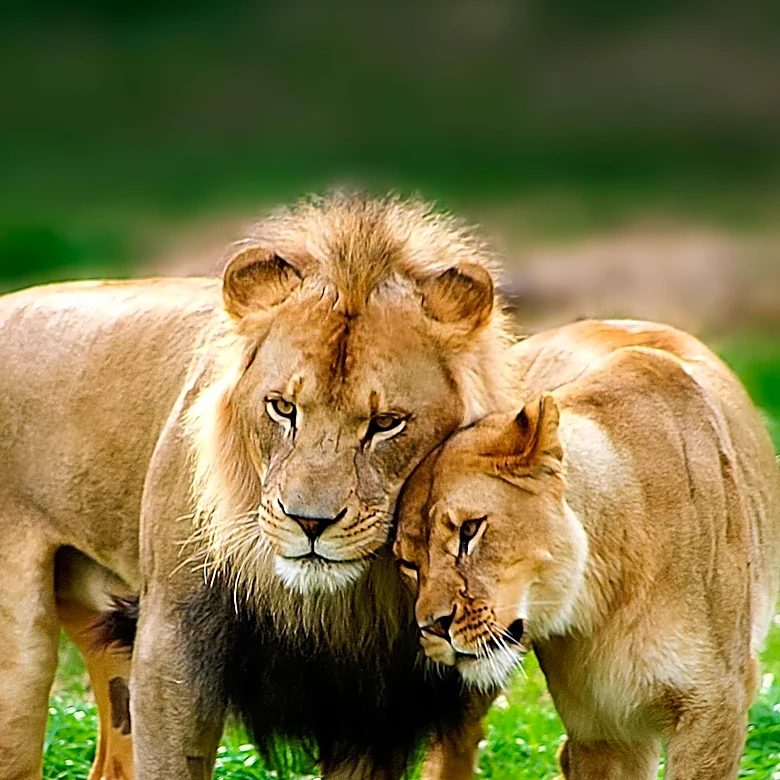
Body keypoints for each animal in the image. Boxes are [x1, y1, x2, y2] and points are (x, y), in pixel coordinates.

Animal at [0, 193, 516, 780]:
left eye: (386, 423)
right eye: (282, 407)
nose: (309, 522)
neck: (341, 603)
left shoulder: (373, 708)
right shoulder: (173, 644)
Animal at [395, 319, 780, 780]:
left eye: (470, 530)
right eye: (407, 563)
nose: (433, 627)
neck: (606, 596)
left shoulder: (715, 707)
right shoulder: (604, 728)